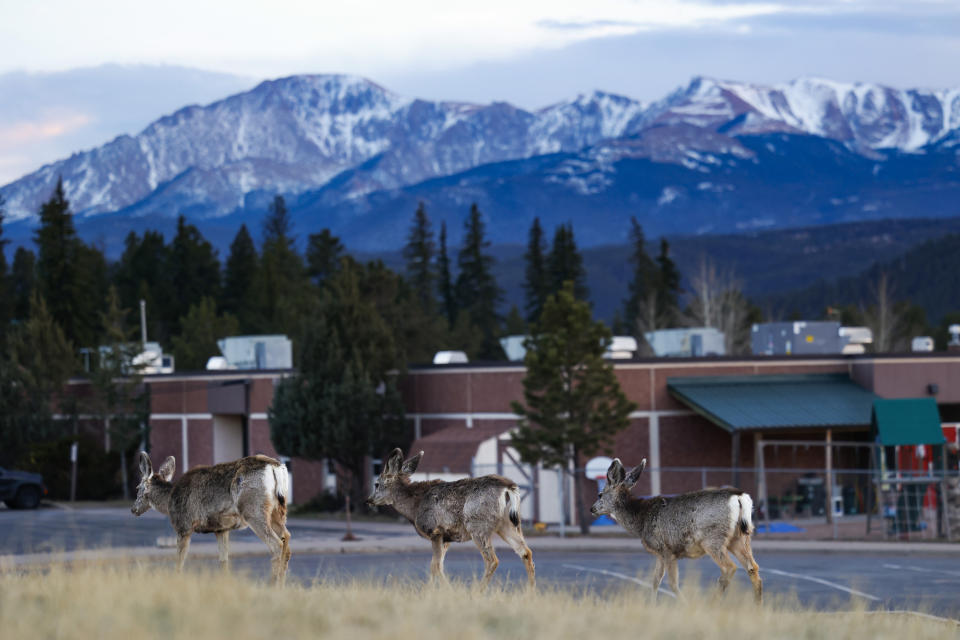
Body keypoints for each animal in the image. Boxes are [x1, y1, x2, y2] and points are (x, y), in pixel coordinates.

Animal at [130, 450, 292, 584]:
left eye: (138, 488)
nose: (133, 509)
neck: (170, 498)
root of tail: (275, 467)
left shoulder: (183, 525)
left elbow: (179, 562)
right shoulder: (221, 529)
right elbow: (223, 562)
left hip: (252, 508)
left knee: (276, 545)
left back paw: (272, 586)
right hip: (277, 511)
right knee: (287, 539)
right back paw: (281, 587)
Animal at [368, 448, 536, 588]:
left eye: (376, 484)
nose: (369, 500)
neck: (415, 505)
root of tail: (508, 487)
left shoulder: (435, 531)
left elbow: (436, 566)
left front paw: (447, 590)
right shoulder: (446, 538)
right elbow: (434, 565)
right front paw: (429, 591)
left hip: (477, 525)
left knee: (492, 560)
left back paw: (476, 592)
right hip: (507, 524)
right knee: (525, 552)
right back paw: (530, 593)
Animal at [588, 458, 760, 604]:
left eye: (600, 494)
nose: (592, 509)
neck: (640, 520)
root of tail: (739, 497)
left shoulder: (667, 549)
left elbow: (672, 583)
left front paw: (685, 605)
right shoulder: (661, 553)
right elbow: (655, 581)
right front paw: (652, 606)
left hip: (712, 538)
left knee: (730, 568)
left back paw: (711, 604)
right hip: (740, 537)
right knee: (753, 568)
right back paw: (758, 607)